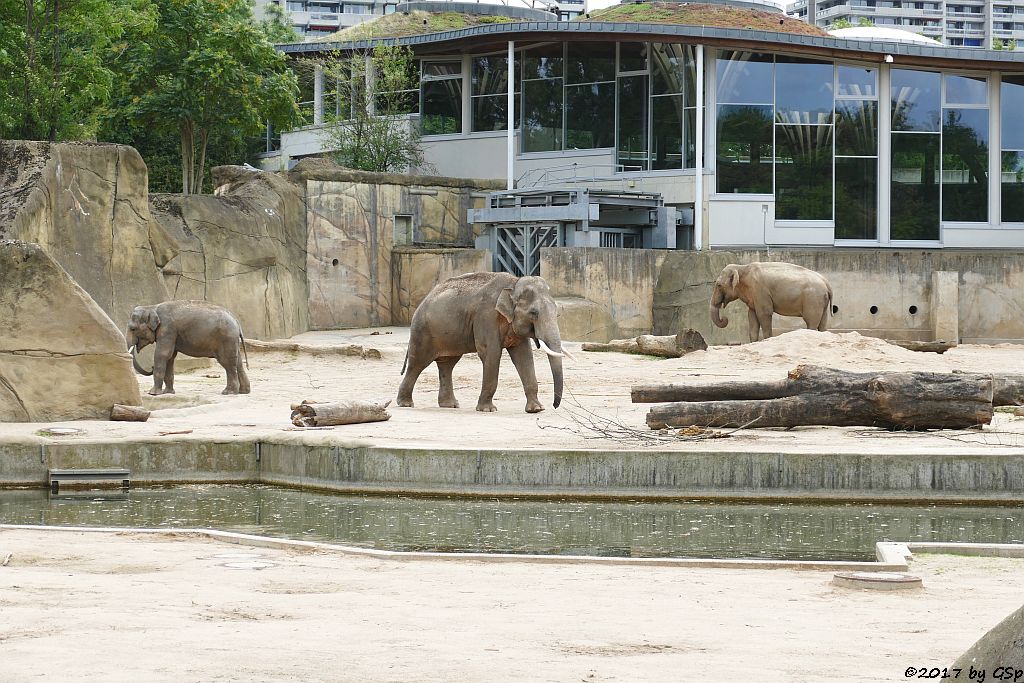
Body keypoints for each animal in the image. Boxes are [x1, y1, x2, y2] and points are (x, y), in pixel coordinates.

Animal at [397, 270, 577, 411]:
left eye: (557, 312)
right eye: (534, 313)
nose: (554, 405)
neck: (514, 283)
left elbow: (524, 357)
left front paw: (536, 409)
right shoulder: (486, 316)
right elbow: (491, 353)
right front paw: (487, 410)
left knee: (447, 364)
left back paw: (450, 405)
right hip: (423, 331)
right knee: (418, 363)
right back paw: (405, 404)